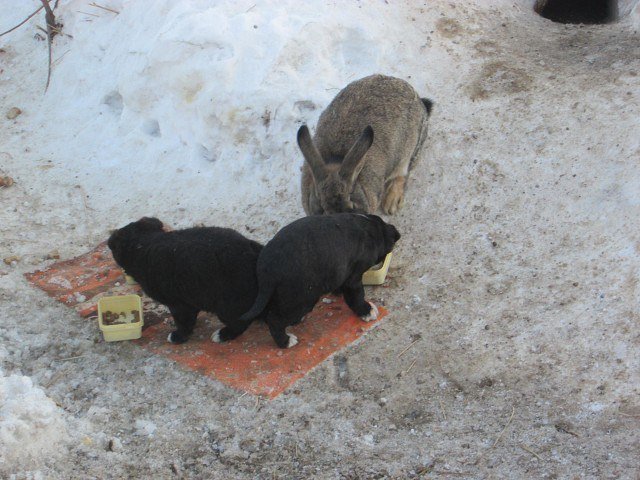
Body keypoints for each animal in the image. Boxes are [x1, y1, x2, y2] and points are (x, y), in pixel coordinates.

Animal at [107, 216, 262, 344]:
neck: (145, 243)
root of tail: (251, 248)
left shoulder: (178, 303)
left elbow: (183, 322)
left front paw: (177, 337)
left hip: (228, 304)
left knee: (240, 323)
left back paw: (222, 335)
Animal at [298, 74, 430, 215]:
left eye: (352, 204)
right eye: (321, 208)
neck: (336, 159)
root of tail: (420, 102)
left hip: (409, 153)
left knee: (403, 174)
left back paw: (391, 203)